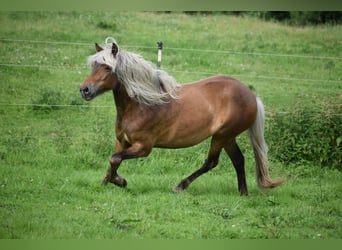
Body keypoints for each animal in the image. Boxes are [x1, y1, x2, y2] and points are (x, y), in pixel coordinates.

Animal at [80, 37, 284, 195]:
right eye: (94, 65)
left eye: (107, 67)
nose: (84, 90)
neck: (141, 105)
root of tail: (251, 95)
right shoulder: (121, 142)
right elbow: (113, 161)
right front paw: (108, 182)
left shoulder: (143, 147)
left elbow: (114, 159)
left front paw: (121, 182)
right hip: (227, 137)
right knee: (238, 160)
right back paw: (243, 193)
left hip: (222, 135)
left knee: (212, 162)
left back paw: (180, 186)